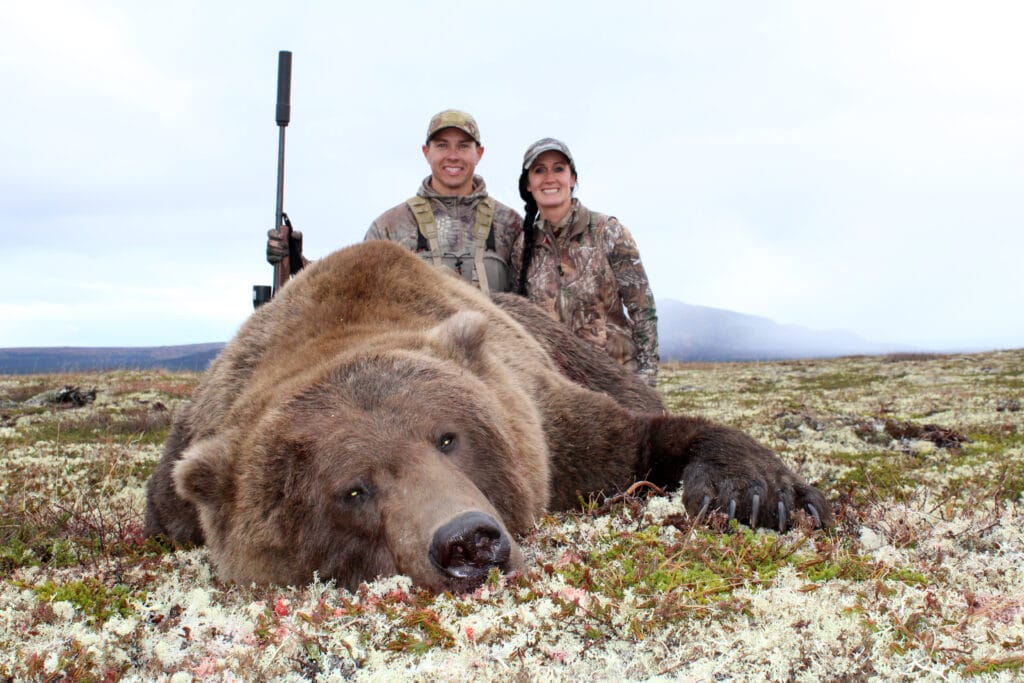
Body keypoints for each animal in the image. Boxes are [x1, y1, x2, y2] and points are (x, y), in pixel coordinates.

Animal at [146, 240, 831, 593]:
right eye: (353, 490)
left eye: (448, 438)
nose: (468, 540)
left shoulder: (545, 417)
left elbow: (634, 442)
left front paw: (755, 491)